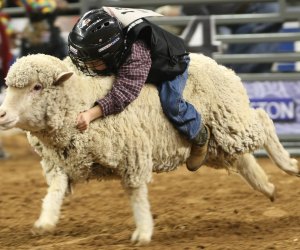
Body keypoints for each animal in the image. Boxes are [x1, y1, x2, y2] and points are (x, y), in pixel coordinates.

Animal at [0, 53, 298, 245]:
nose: (2, 114)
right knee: (243, 160)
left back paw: (289, 165)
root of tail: (222, 67)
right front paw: (45, 222)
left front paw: (143, 232)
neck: (81, 100)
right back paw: (267, 187)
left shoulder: (132, 154)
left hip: (231, 120)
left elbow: (137, 196)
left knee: (263, 119)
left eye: (37, 87)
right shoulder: (61, 164)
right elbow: (55, 192)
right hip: (218, 143)